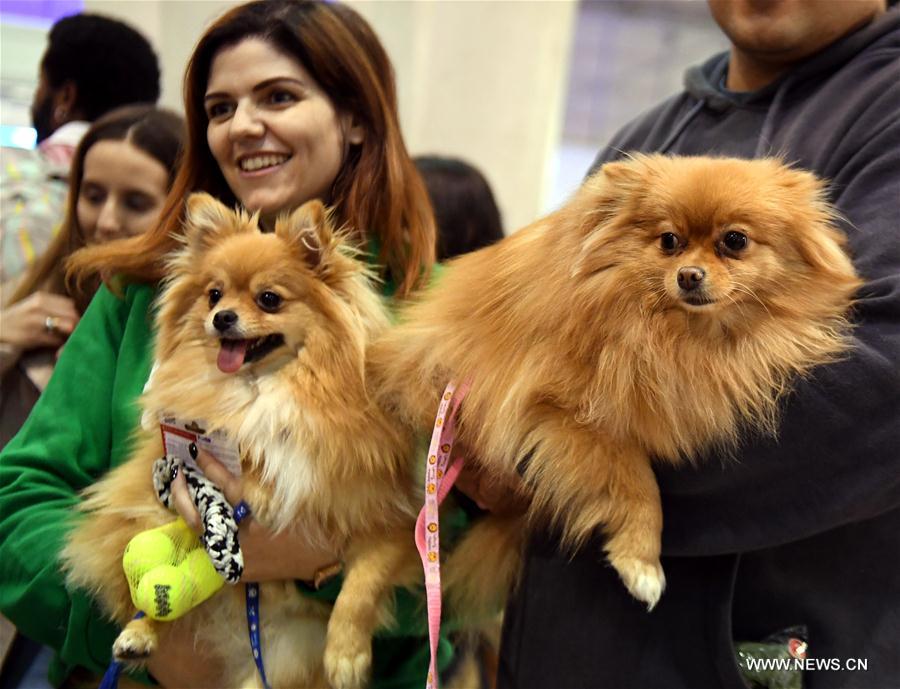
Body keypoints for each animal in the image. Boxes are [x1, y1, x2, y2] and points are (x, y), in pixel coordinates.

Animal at [63, 194, 422, 688]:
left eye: (268, 299)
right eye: (214, 295)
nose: (222, 317)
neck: (263, 388)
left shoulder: (388, 521)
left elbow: (361, 585)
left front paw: (346, 655)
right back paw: (140, 633)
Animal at [370, 155, 860, 612]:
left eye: (735, 241)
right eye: (669, 241)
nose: (689, 275)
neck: (675, 334)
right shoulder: (561, 411)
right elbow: (638, 481)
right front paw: (642, 562)